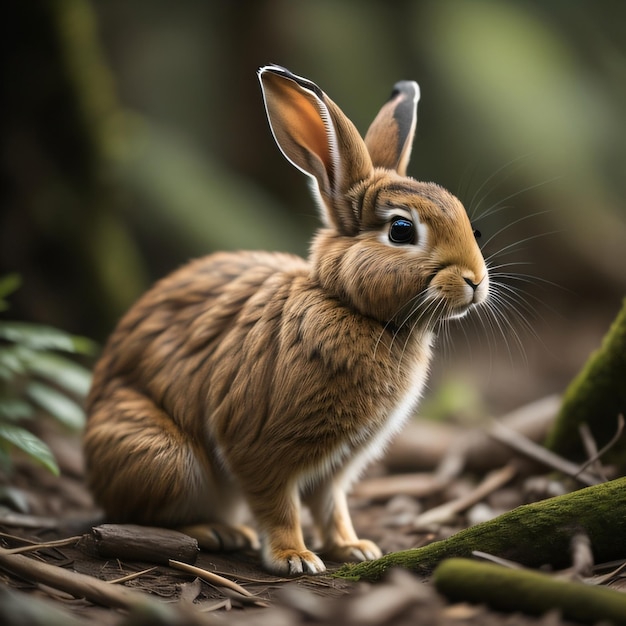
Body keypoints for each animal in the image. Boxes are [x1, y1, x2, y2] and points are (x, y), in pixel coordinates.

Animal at [83, 66, 488, 572]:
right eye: (401, 230)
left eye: (472, 227)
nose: (475, 280)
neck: (345, 302)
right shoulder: (257, 443)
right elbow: (278, 503)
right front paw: (294, 557)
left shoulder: (337, 464)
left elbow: (331, 505)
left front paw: (354, 547)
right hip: (164, 458)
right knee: (142, 510)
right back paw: (214, 531)